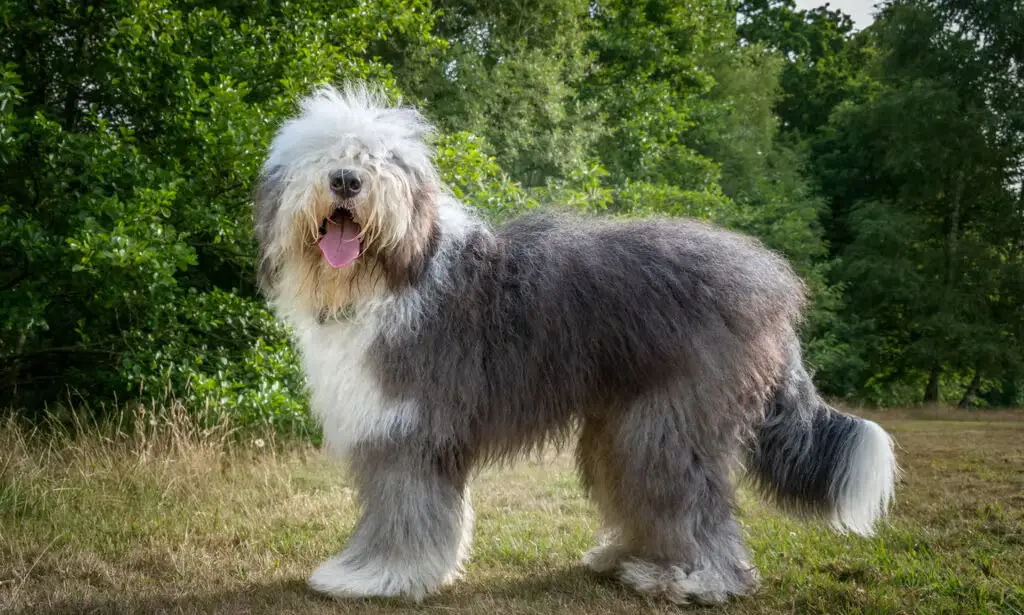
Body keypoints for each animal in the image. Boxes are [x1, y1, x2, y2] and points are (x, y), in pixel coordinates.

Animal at [253, 83, 897, 601]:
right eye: (320, 156)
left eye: (381, 160)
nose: (345, 180)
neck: (393, 275)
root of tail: (773, 290)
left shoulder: (409, 428)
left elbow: (403, 510)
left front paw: (375, 577)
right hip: (625, 418)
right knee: (640, 490)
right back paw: (628, 557)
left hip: (672, 420)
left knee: (690, 501)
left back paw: (695, 579)